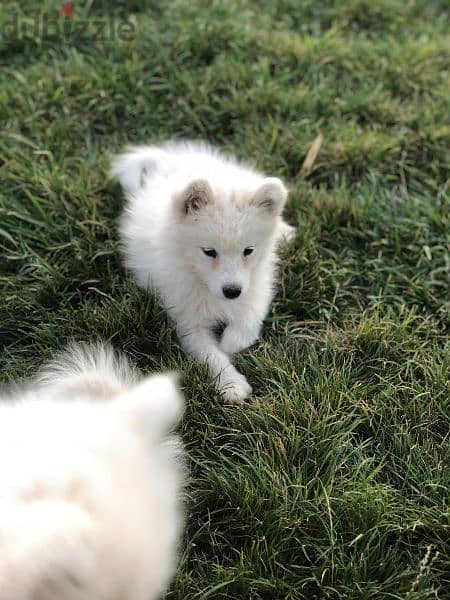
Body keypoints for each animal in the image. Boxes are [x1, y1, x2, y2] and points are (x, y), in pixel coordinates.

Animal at [111, 142, 296, 404]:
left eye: (248, 251)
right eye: (209, 252)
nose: (232, 292)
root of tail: (171, 159)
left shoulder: (257, 283)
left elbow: (249, 317)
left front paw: (231, 342)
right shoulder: (188, 320)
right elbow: (210, 354)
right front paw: (231, 383)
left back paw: (284, 231)